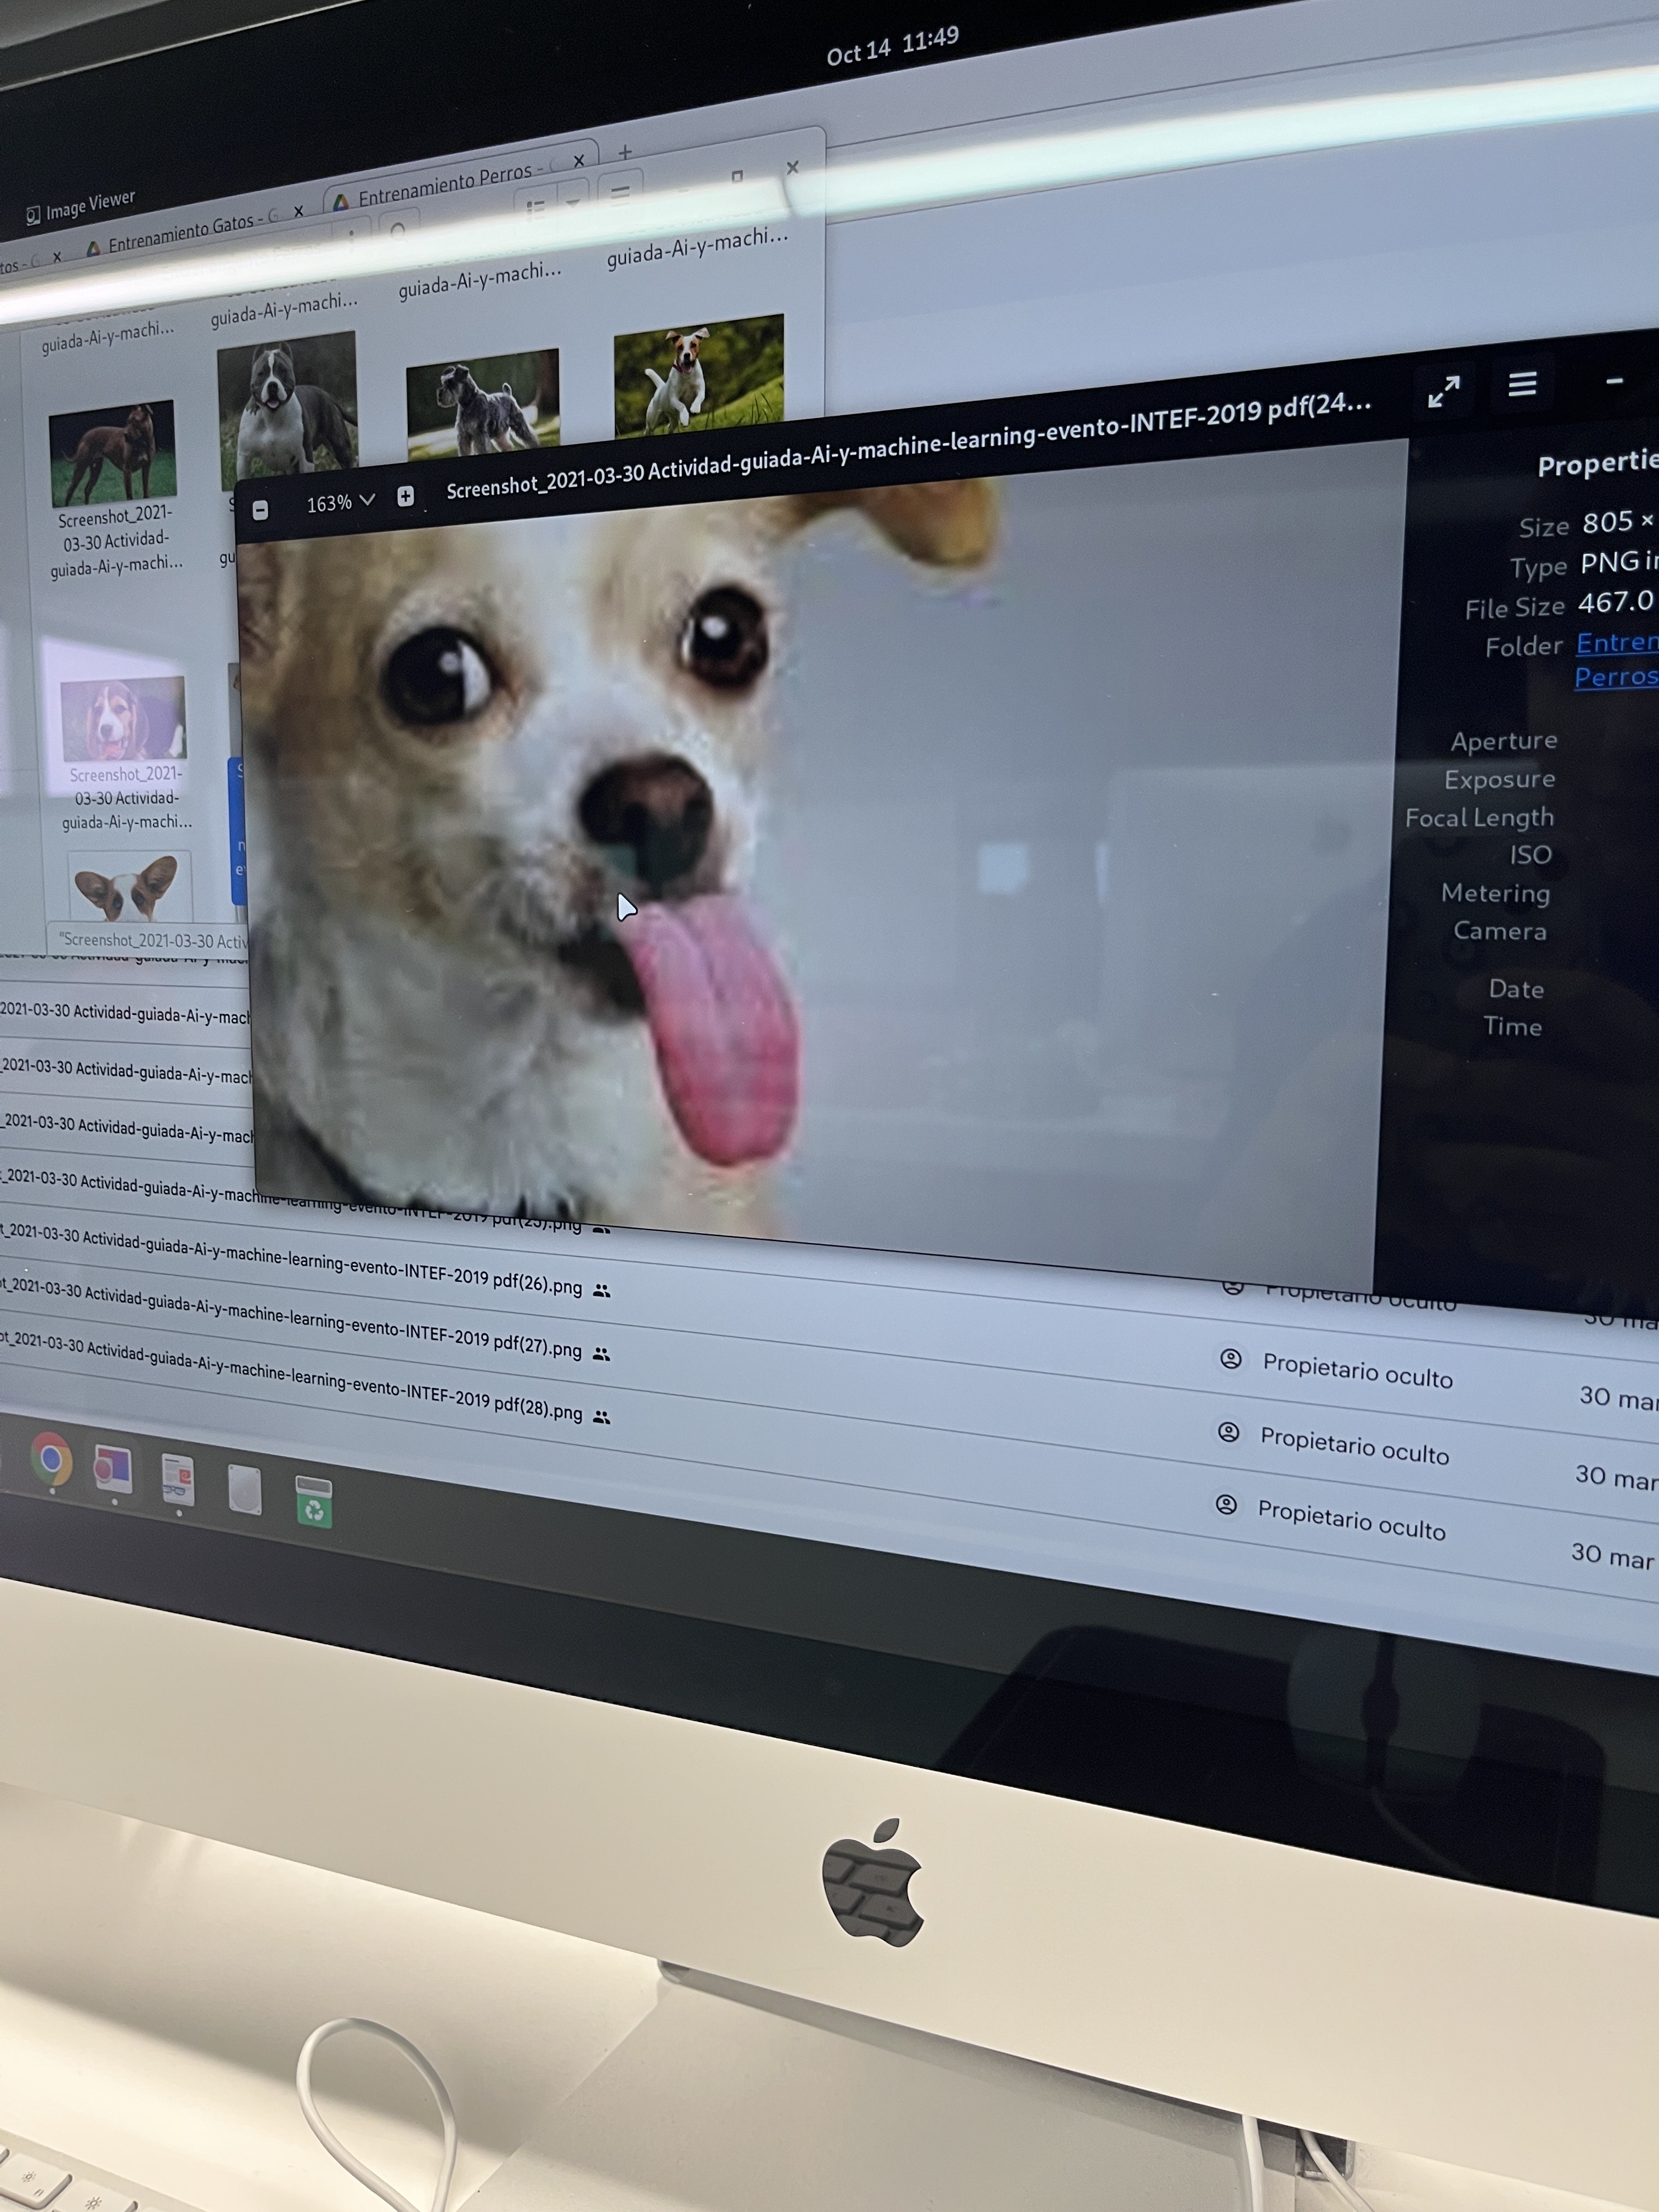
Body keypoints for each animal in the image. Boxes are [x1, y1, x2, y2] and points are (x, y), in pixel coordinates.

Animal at [65, 405, 155, 501]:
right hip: (81, 466)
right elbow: (130, 495)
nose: (125, 434)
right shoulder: (127, 470)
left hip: (96, 469)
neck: (142, 443)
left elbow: (146, 492)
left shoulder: (146, 468)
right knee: (70, 490)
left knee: (88, 489)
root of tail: (85, 435)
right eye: (128, 421)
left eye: (136, 422)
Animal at [235, 345, 357, 478]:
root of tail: (326, 394)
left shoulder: (305, 456)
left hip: (341, 449)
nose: (272, 385)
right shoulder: (244, 459)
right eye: (261, 374)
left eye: (283, 371)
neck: (272, 416)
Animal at [436, 364, 540, 457]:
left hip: (519, 425)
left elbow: (483, 450)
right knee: (508, 446)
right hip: (499, 434)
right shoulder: (464, 436)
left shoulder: (480, 435)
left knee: (531, 438)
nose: (439, 396)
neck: (469, 403)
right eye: (443, 382)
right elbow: (465, 451)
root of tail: (508, 394)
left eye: (451, 383)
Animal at [643, 329, 709, 431]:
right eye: (680, 347)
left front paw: (695, 409)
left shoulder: (701, 389)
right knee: (648, 429)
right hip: (652, 420)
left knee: (670, 427)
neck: (687, 376)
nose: (687, 355)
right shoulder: (674, 398)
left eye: (694, 345)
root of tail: (661, 387)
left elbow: (700, 397)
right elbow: (682, 405)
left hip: (673, 418)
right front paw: (685, 418)